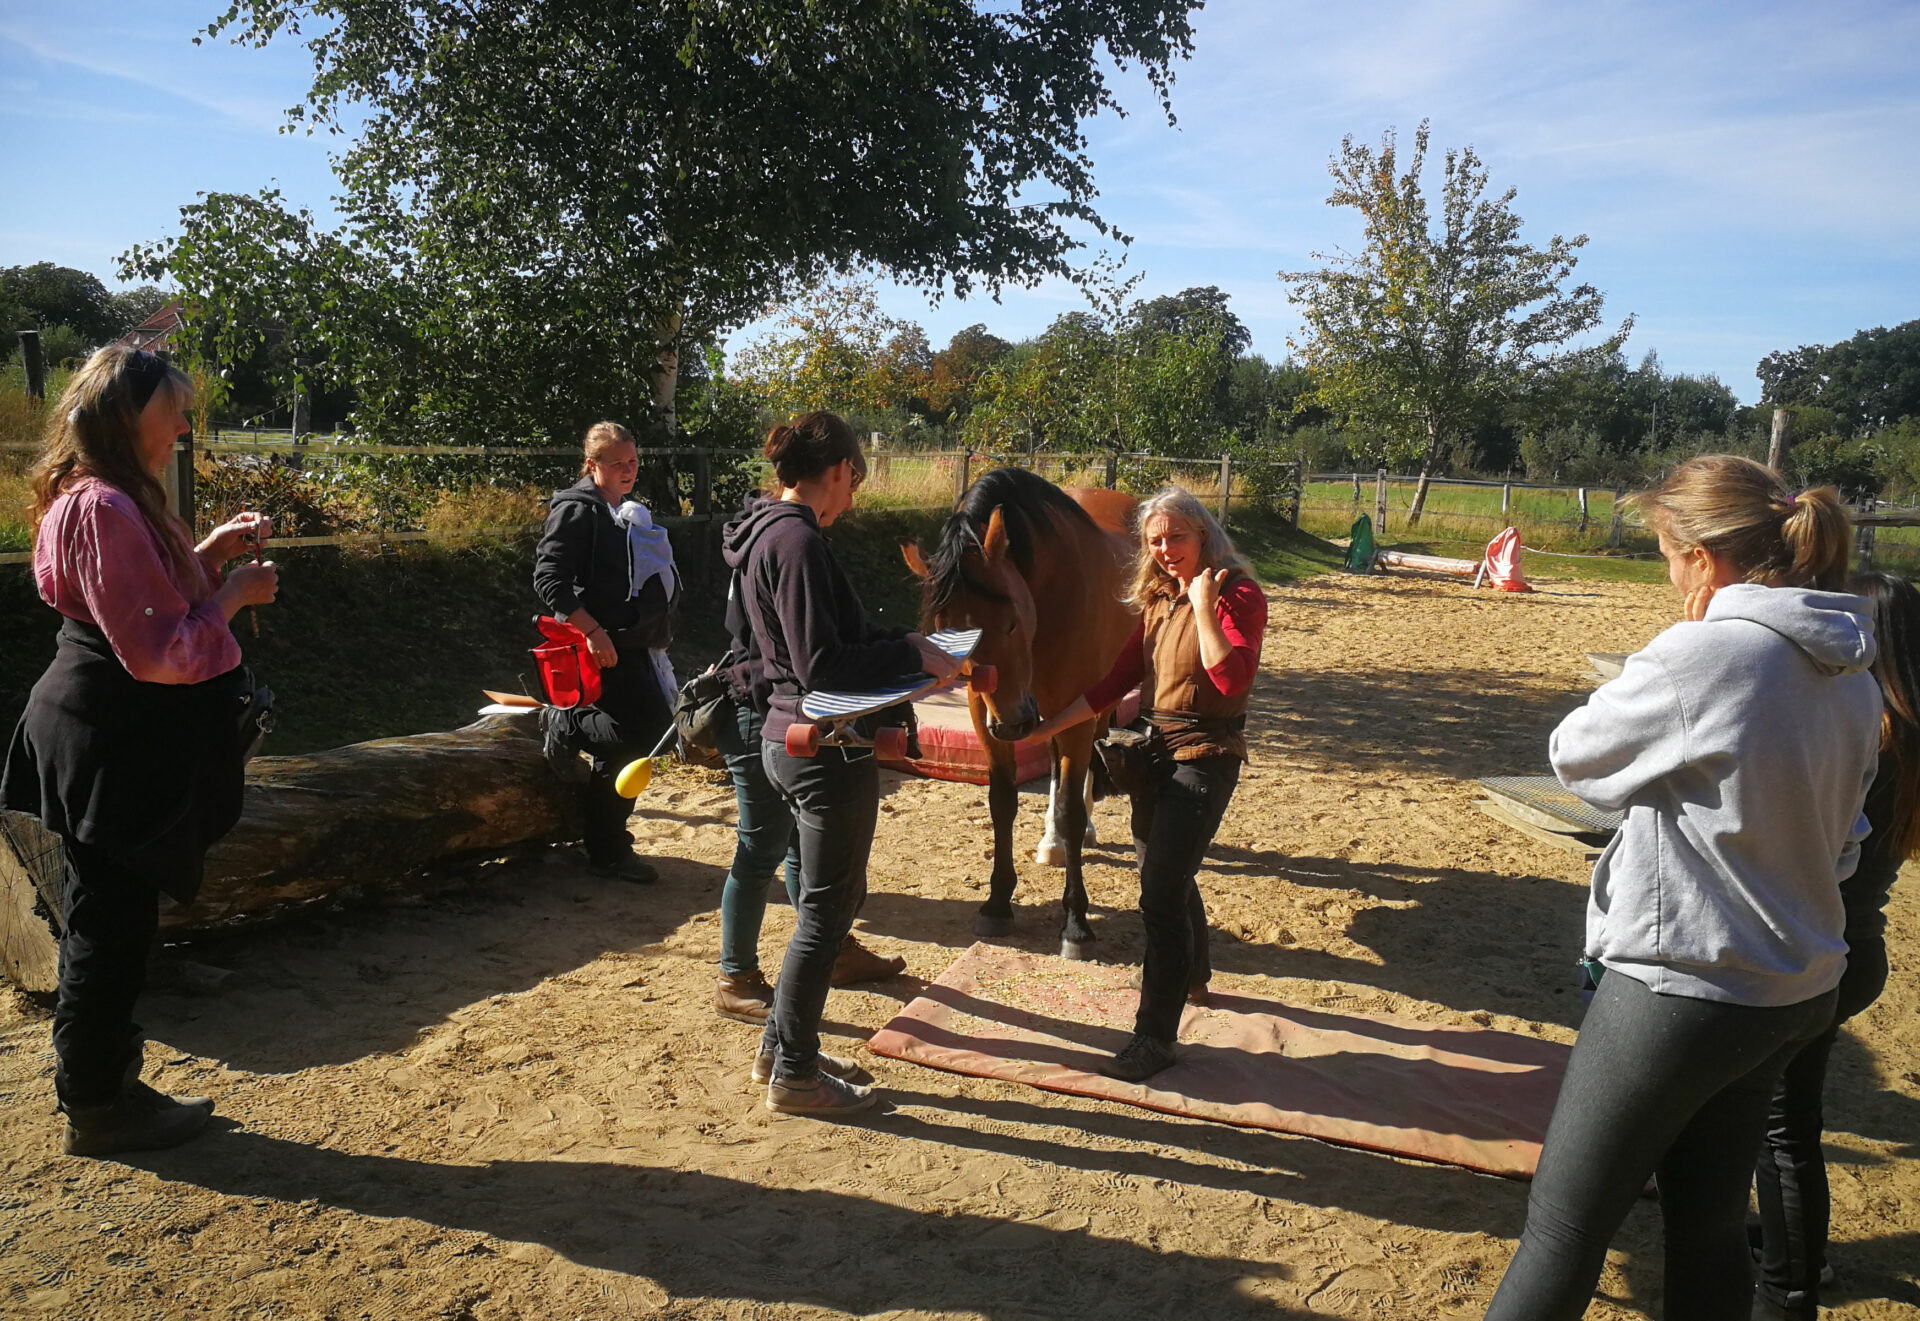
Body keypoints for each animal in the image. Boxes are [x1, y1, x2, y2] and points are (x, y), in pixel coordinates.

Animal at [902, 468, 1139, 958]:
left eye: (1010, 622)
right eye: (945, 634)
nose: (1014, 722)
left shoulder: (1076, 712)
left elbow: (1070, 807)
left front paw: (1076, 923)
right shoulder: (985, 717)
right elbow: (1002, 803)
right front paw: (997, 904)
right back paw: (1053, 843)